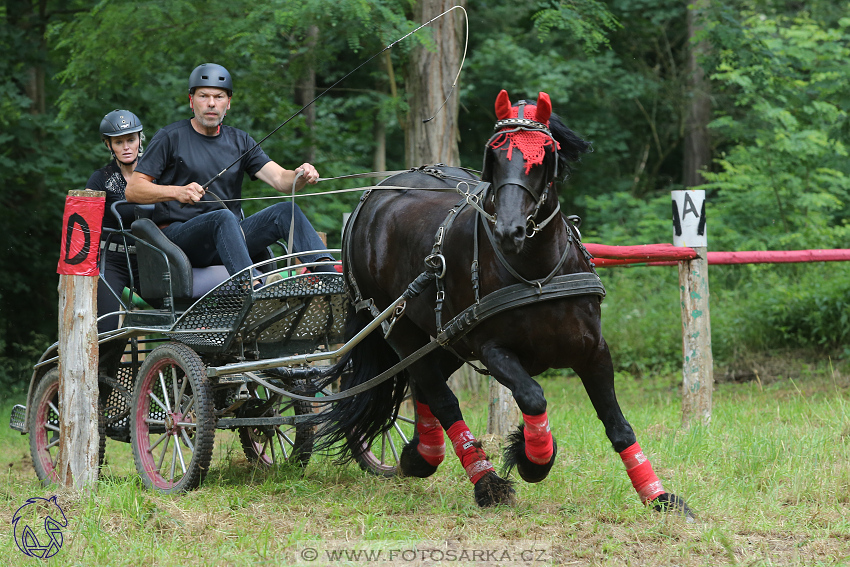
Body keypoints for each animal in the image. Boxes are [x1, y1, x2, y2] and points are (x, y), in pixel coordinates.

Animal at [314, 87, 692, 516]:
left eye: (543, 155)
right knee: (440, 396)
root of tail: (371, 199)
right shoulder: (493, 350)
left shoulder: (594, 350)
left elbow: (618, 425)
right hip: (398, 326)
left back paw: (421, 455)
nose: (510, 230)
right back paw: (484, 480)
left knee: (426, 385)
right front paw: (532, 458)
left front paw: (658, 496)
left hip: (445, 337)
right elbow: (533, 398)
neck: (538, 273)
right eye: (494, 156)